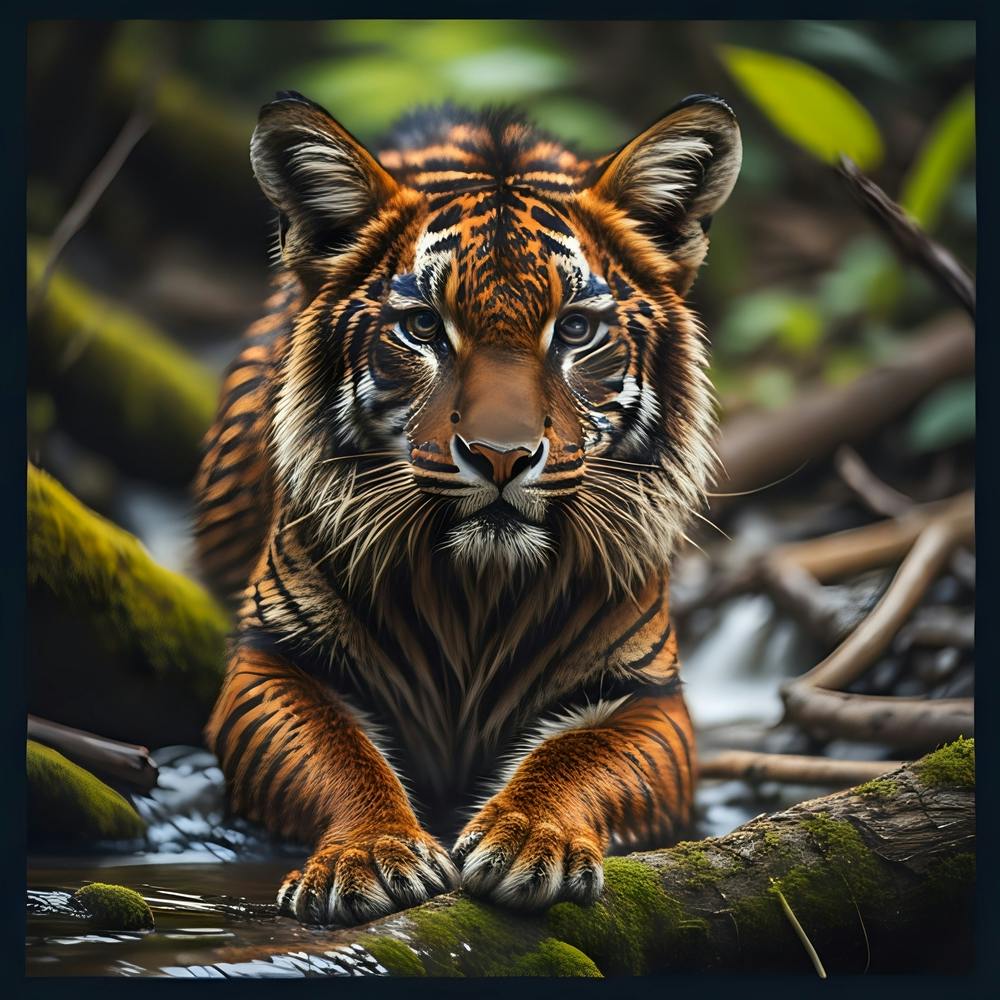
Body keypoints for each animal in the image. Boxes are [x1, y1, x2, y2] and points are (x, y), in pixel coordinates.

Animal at [196, 90, 741, 927]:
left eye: (575, 329)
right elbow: (338, 754)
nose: (502, 456)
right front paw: (369, 855)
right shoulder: (271, 659)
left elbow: (575, 755)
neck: (476, 590)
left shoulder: (648, 697)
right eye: (424, 327)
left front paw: (531, 840)